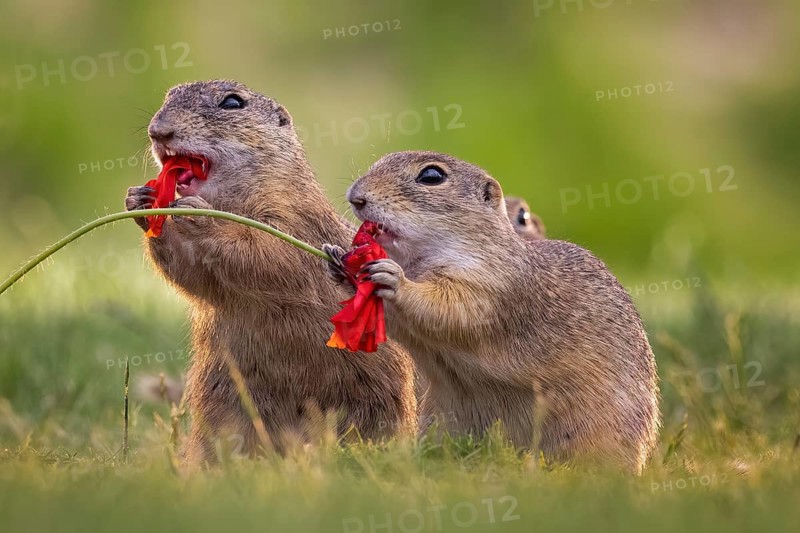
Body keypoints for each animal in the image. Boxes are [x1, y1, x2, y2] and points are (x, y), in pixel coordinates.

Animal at [124, 80, 416, 464]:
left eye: (233, 103)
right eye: (169, 95)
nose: (158, 131)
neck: (232, 203)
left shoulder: (291, 218)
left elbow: (267, 253)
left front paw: (199, 217)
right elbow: (193, 273)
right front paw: (140, 199)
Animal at [325, 151, 660, 472]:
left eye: (431, 175)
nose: (356, 196)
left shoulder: (489, 286)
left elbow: (448, 308)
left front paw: (395, 279)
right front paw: (336, 259)